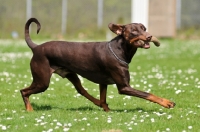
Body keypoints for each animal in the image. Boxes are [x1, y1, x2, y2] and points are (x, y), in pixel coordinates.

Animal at [20, 17, 175, 111]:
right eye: (134, 31)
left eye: (144, 28)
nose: (149, 36)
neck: (120, 50)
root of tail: (36, 47)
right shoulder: (124, 87)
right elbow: (148, 94)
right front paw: (167, 102)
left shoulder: (103, 83)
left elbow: (103, 96)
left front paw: (107, 110)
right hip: (42, 81)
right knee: (24, 91)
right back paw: (30, 110)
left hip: (71, 75)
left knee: (82, 91)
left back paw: (98, 103)